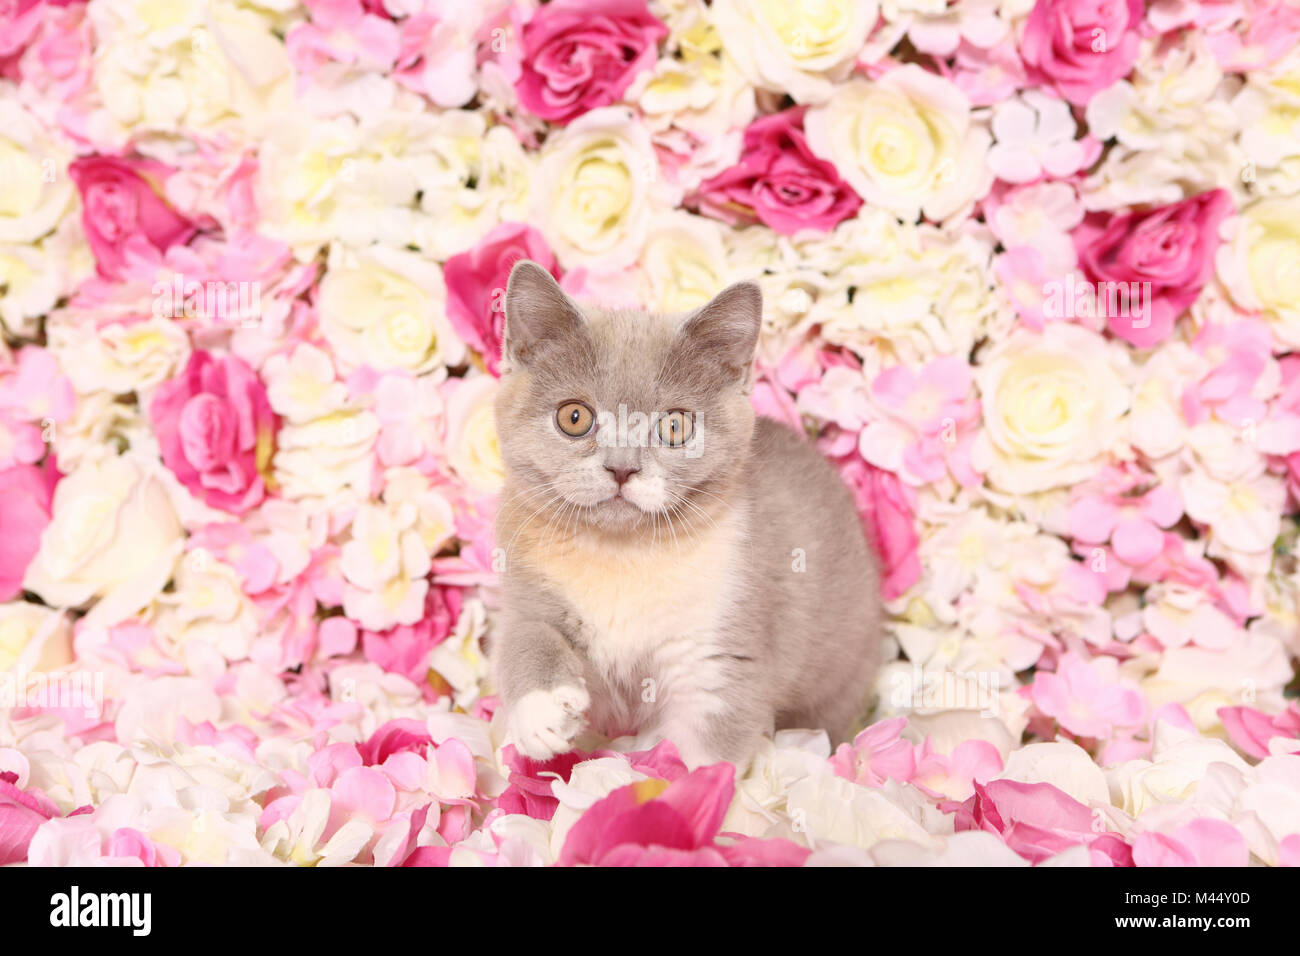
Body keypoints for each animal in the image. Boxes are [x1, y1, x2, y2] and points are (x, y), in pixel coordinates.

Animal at [488, 261, 883, 770]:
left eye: (675, 426)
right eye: (574, 417)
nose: (622, 467)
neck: (622, 556)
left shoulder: (718, 653)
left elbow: (700, 753)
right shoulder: (525, 584)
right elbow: (524, 636)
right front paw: (543, 714)